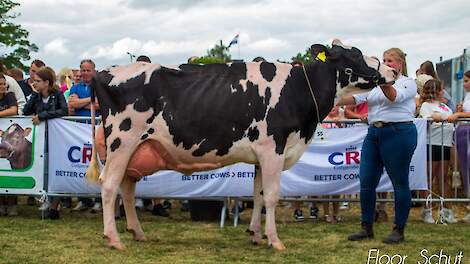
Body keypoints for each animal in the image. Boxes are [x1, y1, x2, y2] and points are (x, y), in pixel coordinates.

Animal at [86, 38, 394, 250]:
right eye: (355, 53)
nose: (391, 70)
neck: (298, 89)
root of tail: (103, 72)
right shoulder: (273, 149)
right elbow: (272, 196)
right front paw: (274, 241)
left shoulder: (261, 156)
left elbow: (258, 195)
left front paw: (256, 235)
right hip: (122, 141)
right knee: (109, 185)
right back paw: (113, 239)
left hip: (136, 149)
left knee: (127, 188)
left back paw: (137, 233)